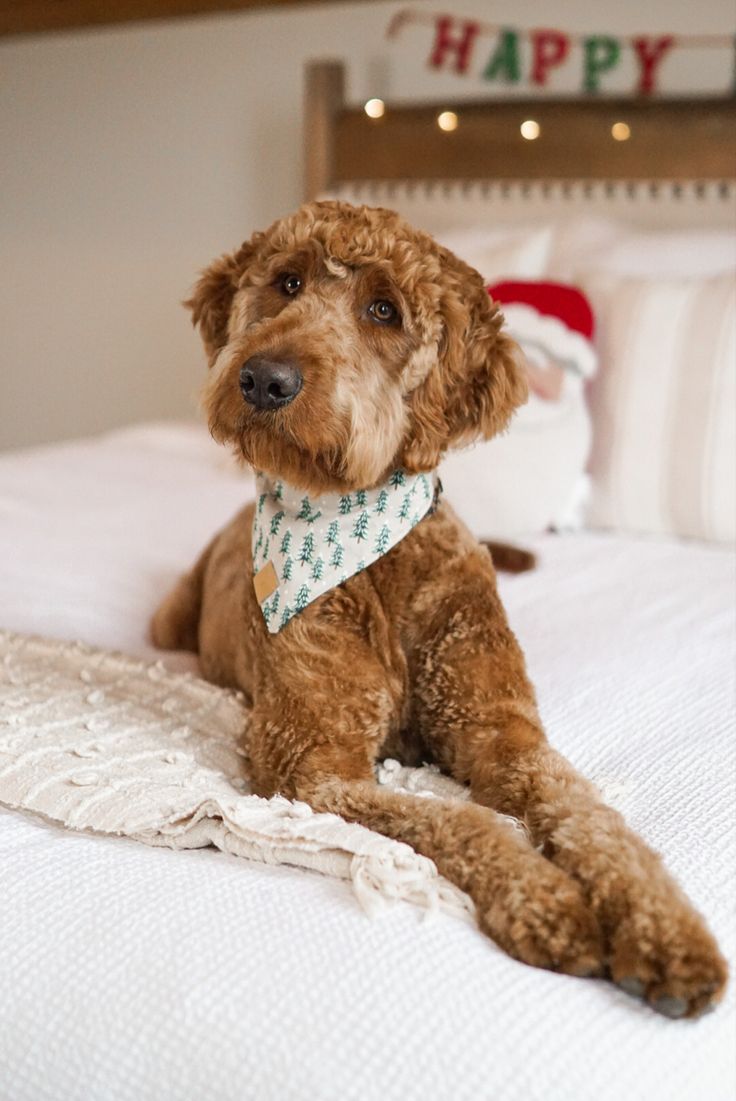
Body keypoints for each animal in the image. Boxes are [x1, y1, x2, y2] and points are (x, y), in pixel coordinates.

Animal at [152, 198, 727, 1012]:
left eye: (383, 310)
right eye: (287, 282)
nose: (263, 379)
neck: (378, 556)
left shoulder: (500, 732)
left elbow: (594, 818)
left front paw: (665, 927)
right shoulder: (313, 763)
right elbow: (458, 818)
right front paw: (547, 900)